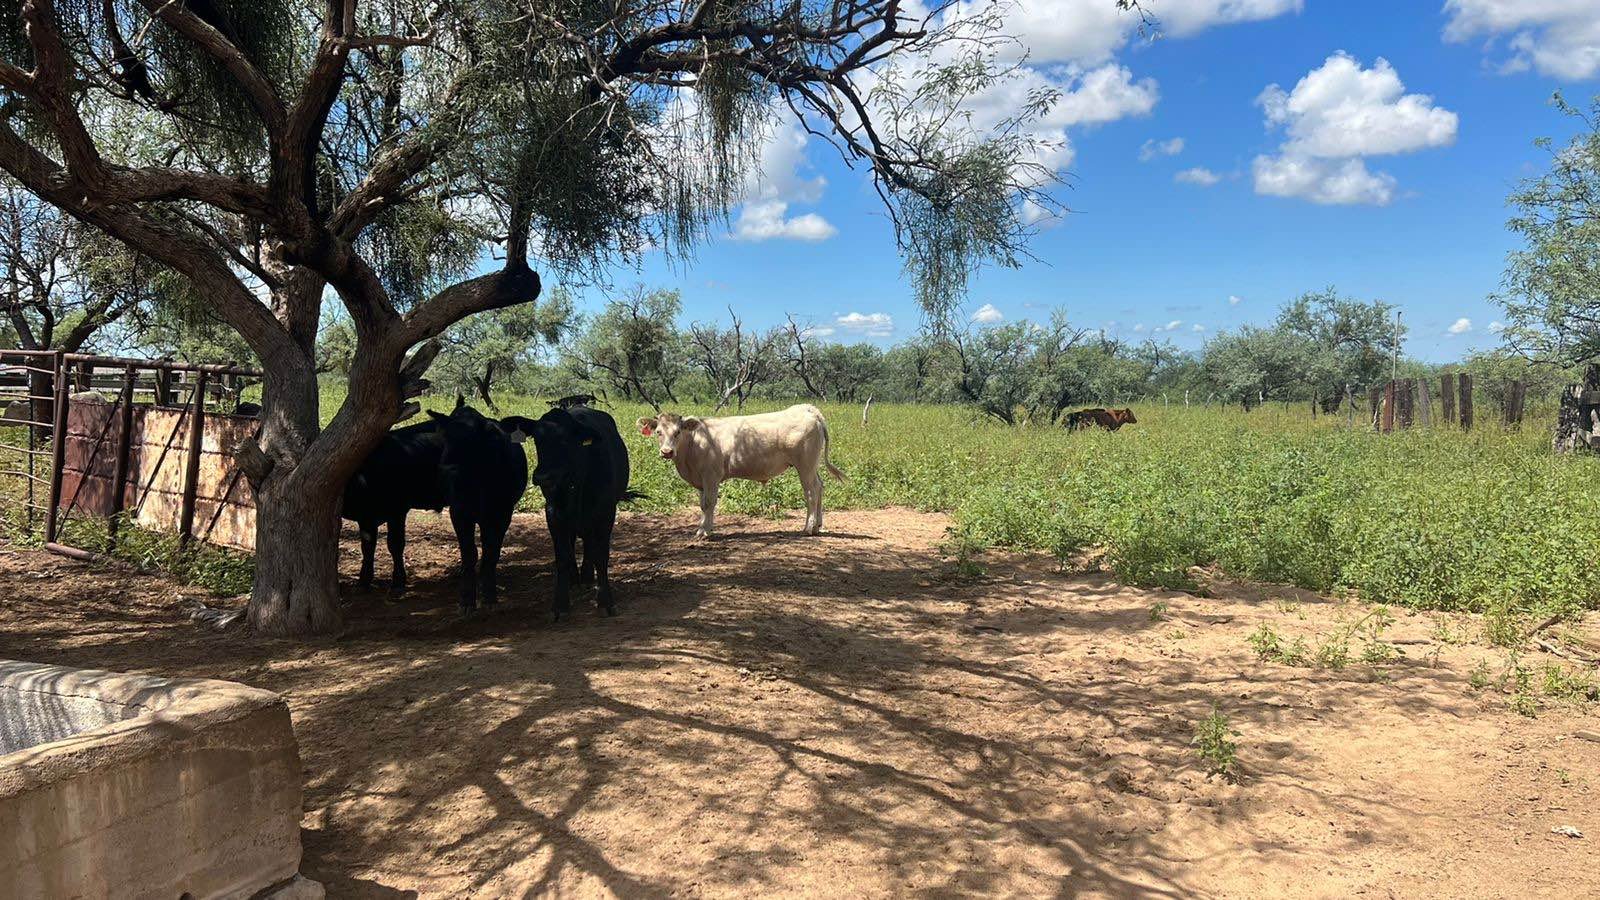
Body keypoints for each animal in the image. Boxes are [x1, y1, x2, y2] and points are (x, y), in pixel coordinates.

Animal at [341, 419, 447, 594]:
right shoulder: (366, 518)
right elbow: (367, 547)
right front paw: (364, 580)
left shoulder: (397, 511)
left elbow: (395, 544)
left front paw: (398, 582)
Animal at [429, 403, 528, 613]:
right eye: (445, 438)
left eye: (469, 439)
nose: (445, 468)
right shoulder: (459, 512)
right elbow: (469, 552)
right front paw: (467, 599)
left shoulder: (502, 513)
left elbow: (491, 551)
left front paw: (489, 594)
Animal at [500, 406, 637, 620]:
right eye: (537, 439)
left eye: (565, 439)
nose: (542, 476)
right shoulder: (553, 513)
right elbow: (562, 556)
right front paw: (561, 604)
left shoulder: (606, 512)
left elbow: (601, 555)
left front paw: (605, 601)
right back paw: (574, 578)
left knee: (589, 544)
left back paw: (587, 577)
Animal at [636, 404, 844, 539]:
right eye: (658, 432)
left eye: (678, 432)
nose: (667, 452)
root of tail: (807, 409)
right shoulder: (701, 480)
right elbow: (702, 505)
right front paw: (703, 528)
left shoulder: (711, 476)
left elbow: (709, 503)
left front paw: (705, 532)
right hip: (812, 466)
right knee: (820, 487)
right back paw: (817, 525)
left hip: (805, 465)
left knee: (811, 492)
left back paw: (808, 528)